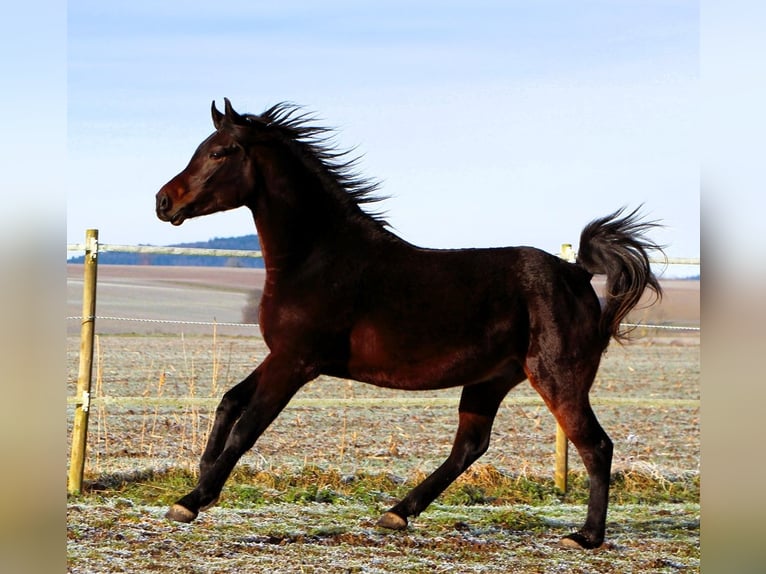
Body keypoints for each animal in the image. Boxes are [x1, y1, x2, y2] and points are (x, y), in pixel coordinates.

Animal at [153, 100, 664, 552]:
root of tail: (577, 273)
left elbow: (248, 427)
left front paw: (191, 500)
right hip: (491, 380)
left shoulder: (295, 362)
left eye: (220, 152)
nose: (163, 201)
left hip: (558, 377)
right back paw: (397, 513)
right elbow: (230, 401)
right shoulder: (281, 355)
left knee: (596, 446)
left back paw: (586, 537)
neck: (318, 258)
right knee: (470, 445)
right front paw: (201, 476)